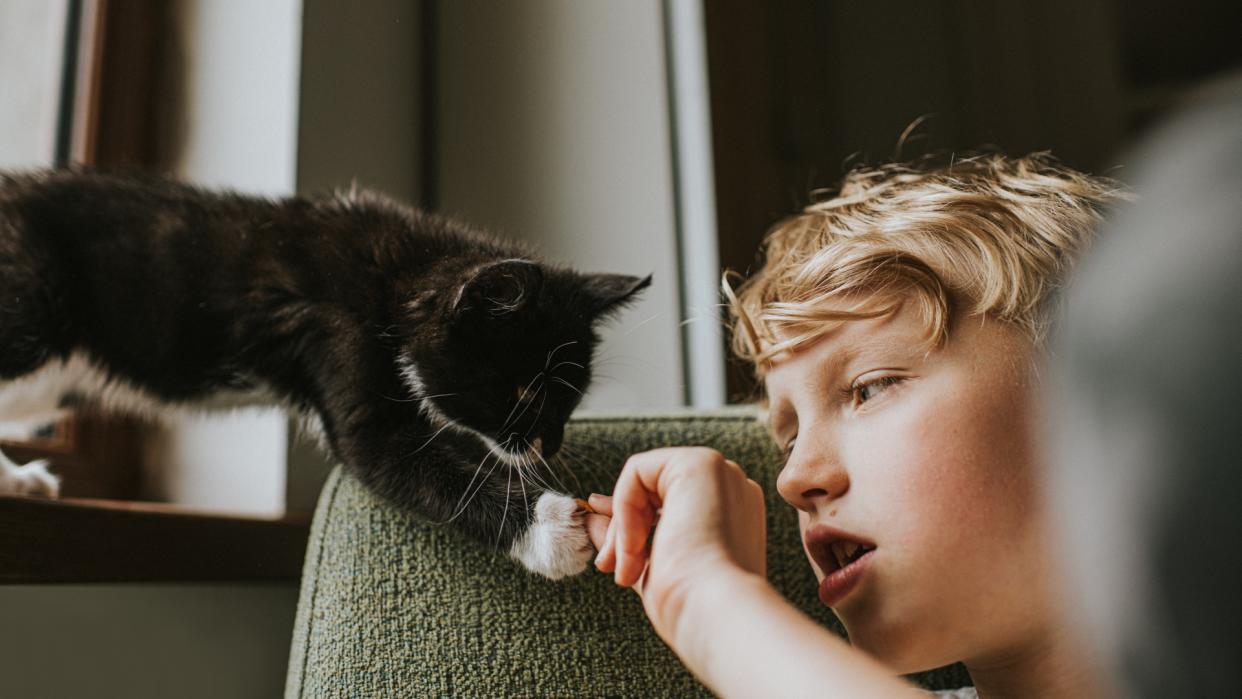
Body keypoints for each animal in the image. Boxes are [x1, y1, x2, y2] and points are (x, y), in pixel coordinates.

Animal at [2, 171, 650, 581]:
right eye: (522, 391)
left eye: (571, 396)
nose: (550, 444)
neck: (396, 276)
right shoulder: (332, 331)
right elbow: (394, 456)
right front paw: (554, 529)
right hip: (31, 315)